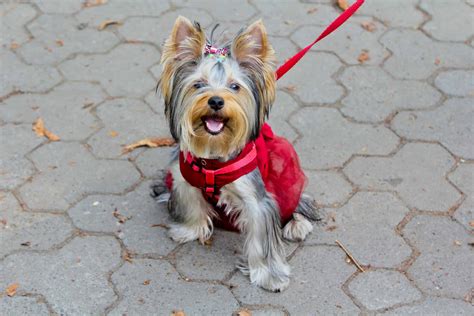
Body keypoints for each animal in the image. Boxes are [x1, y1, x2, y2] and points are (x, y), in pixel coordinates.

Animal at [154, 15, 320, 292]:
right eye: (198, 84)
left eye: (234, 87)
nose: (216, 101)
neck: (213, 157)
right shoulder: (183, 180)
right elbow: (191, 205)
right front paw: (189, 230)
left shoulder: (256, 198)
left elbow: (263, 237)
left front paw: (270, 276)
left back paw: (297, 224)